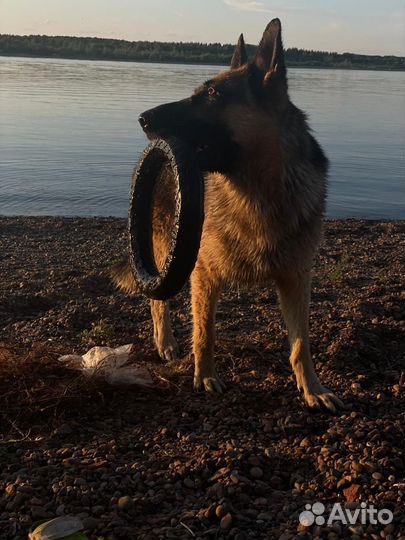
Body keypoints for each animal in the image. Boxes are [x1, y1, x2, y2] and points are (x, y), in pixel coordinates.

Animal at [112, 19, 342, 412]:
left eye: (212, 95)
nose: (142, 119)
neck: (259, 193)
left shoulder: (297, 280)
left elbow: (301, 345)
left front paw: (313, 387)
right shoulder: (203, 275)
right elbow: (204, 333)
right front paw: (205, 376)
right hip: (164, 253)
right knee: (158, 303)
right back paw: (165, 342)